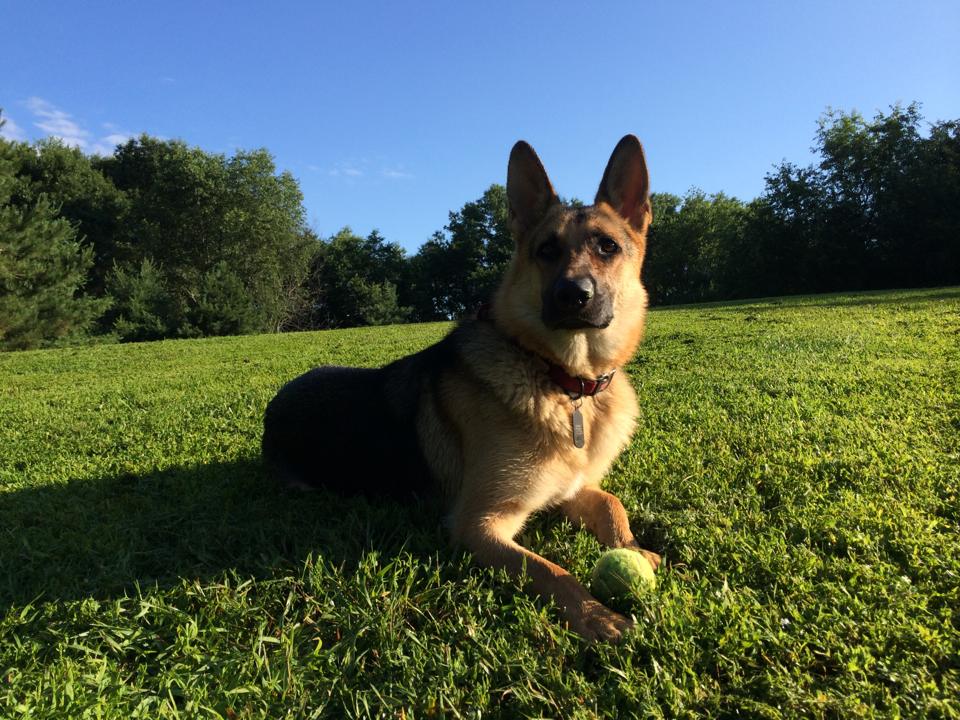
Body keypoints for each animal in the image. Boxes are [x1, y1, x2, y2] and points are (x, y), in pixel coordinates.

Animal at [266, 136, 664, 640]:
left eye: (607, 246)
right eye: (546, 250)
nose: (573, 295)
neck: (559, 379)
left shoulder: (574, 488)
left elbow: (613, 505)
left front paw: (635, 549)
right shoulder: (480, 523)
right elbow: (551, 570)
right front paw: (598, 615)